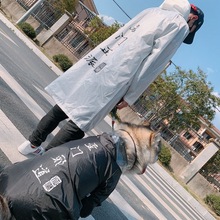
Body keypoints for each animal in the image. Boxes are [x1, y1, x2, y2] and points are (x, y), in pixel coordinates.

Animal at [0, 122, 162, 220]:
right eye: (158, 150)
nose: (158, 158)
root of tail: (6, 199)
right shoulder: (110, 181)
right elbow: (94, 199)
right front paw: (87, 210)